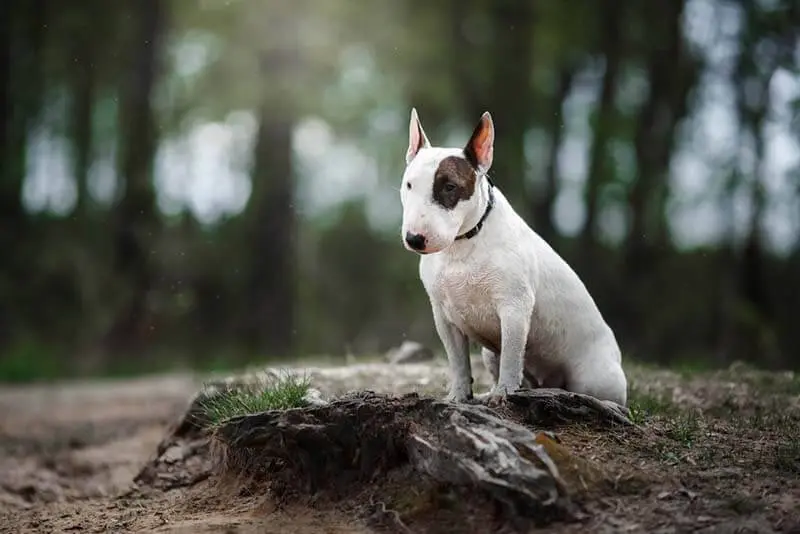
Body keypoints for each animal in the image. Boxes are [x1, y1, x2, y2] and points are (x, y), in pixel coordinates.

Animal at [396, 111, 628, 408]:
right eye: (409, 185)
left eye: (449, 187)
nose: (414, 238)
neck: (463, 243)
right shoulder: (444, 316)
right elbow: (458, 361)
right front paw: (458, 395)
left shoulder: (514, 308)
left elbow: (510, 354)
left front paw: (504, 393)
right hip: (488, 354)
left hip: (594, 377)